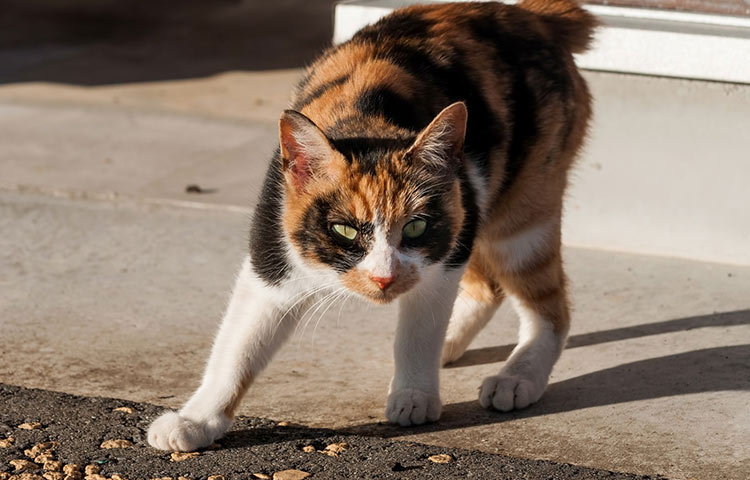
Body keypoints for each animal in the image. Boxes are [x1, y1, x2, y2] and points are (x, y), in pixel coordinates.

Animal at [147, 0, 596, 452]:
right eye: (345, 230)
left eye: (414, 228)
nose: (384, 278)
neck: (367, 120)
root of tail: (526, 15)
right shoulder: (271, 260)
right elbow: (238, 345)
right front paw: (195, 420)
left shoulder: (441, 257)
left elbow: (419, 330)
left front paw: (414, 395)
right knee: (488, 287)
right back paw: (452, 344)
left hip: (520, 216)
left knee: (549, 308)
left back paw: (516, 378)